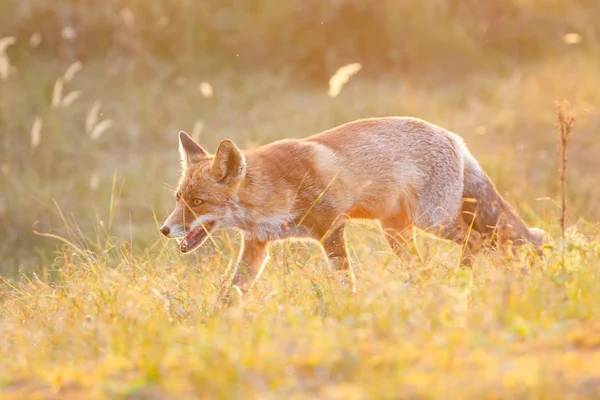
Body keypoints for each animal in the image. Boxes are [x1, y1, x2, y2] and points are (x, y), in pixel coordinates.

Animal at [159, 117, 548, 296]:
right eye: (178, 199)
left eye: (198, 202)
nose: (164, 229)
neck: (268, 198)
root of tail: (452, 135)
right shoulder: (257, 245)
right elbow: (232, 293)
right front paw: (213, 324)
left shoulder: (331, 228)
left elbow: (346, 280)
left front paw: (349, 307)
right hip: (397, 233)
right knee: (444, 260)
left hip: (433, 220)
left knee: (479, 240)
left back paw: (463, 277)